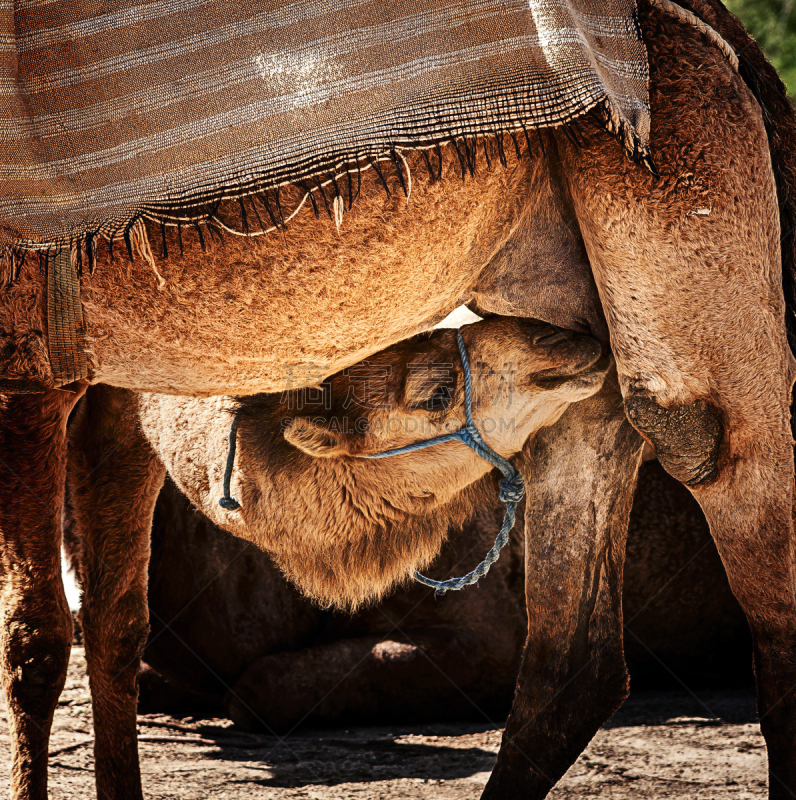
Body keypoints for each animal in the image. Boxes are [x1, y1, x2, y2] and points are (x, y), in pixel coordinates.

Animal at [1, 1, 796, 800]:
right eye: (435, 387)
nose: (554, 344)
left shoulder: (31, 361)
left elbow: (41, 644)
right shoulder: (112, 379)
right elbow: (110, 624)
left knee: (711, 464)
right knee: (574, 659)